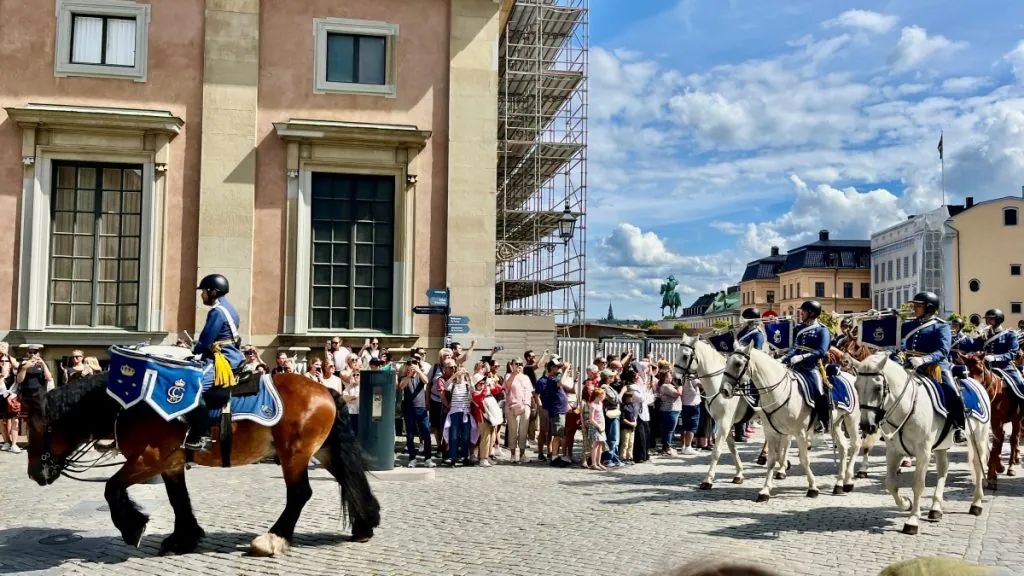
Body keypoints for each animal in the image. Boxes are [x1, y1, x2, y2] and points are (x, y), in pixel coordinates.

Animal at [19, 368, 380, 553]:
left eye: (37, 427)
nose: (35, 473)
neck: (134, 405)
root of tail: (322, 388)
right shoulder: (169, 464)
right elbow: (178, 500)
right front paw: (183, 537)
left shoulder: (147, 460)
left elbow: (111, 488)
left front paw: (132, 526)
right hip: (321, 450)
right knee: (350, 478)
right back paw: (364, 524)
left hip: (294, 454)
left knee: (300, 494)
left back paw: (273, 538)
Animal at [720, 340, 864, 498]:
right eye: (727, 361)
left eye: (738, 364)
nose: (724, 390)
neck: (778, 393)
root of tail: (851, 377)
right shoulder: (771, 433)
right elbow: (772, 460)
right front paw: (765, 490)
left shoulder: (800, 433)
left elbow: (804, 459)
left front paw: (812, 487)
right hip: (835, 424)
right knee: (843, 448)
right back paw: (839, 484)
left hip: (851, 419)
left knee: (856, 445)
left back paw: (848, 481)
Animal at [843, 352, 987, 537]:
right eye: (856, 386)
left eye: (878, 388)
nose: (867, 426)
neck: (906, 408)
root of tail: (977, 384)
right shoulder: (893, 451)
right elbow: (890, 483)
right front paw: (906, 503)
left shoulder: (923, 452)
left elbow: (918, 485)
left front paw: (912, 521)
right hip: (940, 447)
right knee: (943, 470)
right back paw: (935, 509)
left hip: (979, 439)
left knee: (977, 466)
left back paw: (976, 504)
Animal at [954, 350, 1019, 487]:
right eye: (964, 372)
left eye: (980, 370)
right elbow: (989, 446)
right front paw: (994, 468)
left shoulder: (997, 424)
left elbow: (995, 448)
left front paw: (991, 477)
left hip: (1017, 419)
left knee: (1013, 439)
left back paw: (1011, 466)